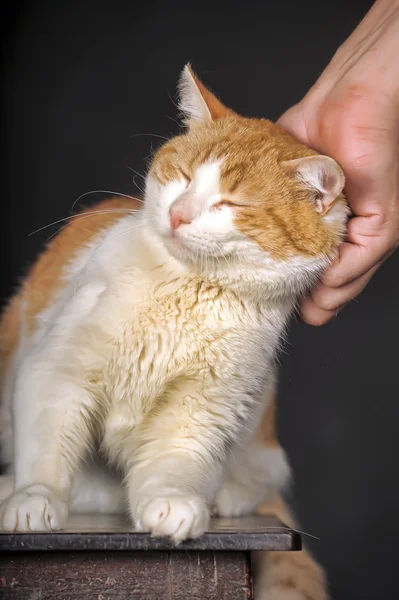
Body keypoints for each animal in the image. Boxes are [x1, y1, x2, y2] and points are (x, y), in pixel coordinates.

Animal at [0, 65, 346, 600]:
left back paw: (222, 493)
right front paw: (33, 497)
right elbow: (47, 448)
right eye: (182, 177)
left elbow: (174, 464)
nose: (179, 213)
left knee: (260, 478)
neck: (186, 289)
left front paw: (173, 503)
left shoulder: (201, 408)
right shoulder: (55, 368)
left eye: (229, 203)